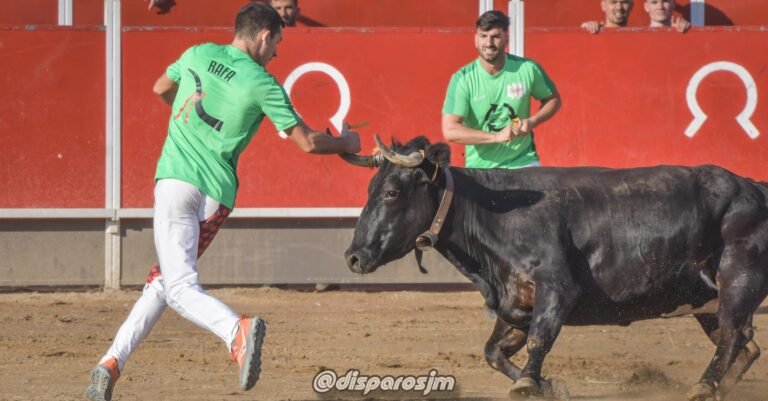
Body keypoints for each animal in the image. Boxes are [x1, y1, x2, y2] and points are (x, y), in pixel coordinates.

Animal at [342, 135, 767, 401]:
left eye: (392, 192)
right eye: (369, 190)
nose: (353, 257)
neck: (496, 214)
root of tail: (753, 186)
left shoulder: (556, 290)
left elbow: (539, 339)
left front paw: (530, 383)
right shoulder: (515, 303)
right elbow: (493, 351)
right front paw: (548, 386)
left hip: (738, 278)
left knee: (733, 335)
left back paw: (704, 387)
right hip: (707, 301)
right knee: (744, 345)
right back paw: (717, 388)